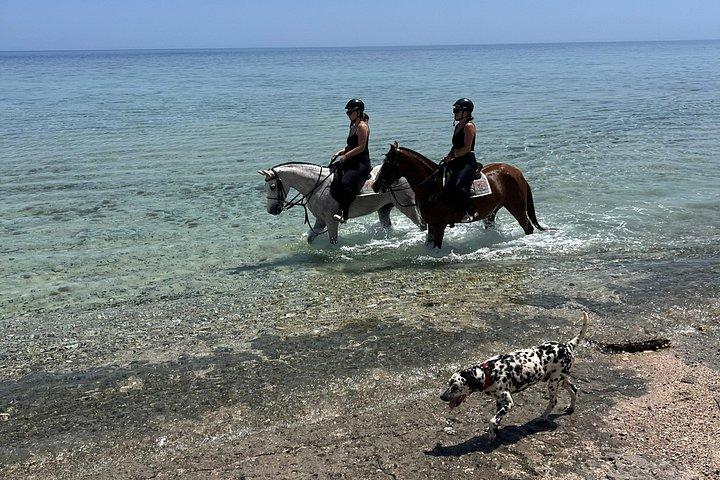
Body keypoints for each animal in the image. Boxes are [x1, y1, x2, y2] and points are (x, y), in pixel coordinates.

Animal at [258, 162, 425, 244]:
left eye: (272, 186)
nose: (272, 210)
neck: (318, 186)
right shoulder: (320, 221)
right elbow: (310, 239)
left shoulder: (331, 221)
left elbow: (333, 241)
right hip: (384, 210)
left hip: (407, 207)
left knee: (422, 225)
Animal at [372, 143, 548, 248]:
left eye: (388, 163)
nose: (375, 185)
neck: (433, 187)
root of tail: (517, 172)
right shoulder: (431, 225)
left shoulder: (439, 225)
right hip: (492, 211)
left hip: (516, 207)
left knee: (528, 227)